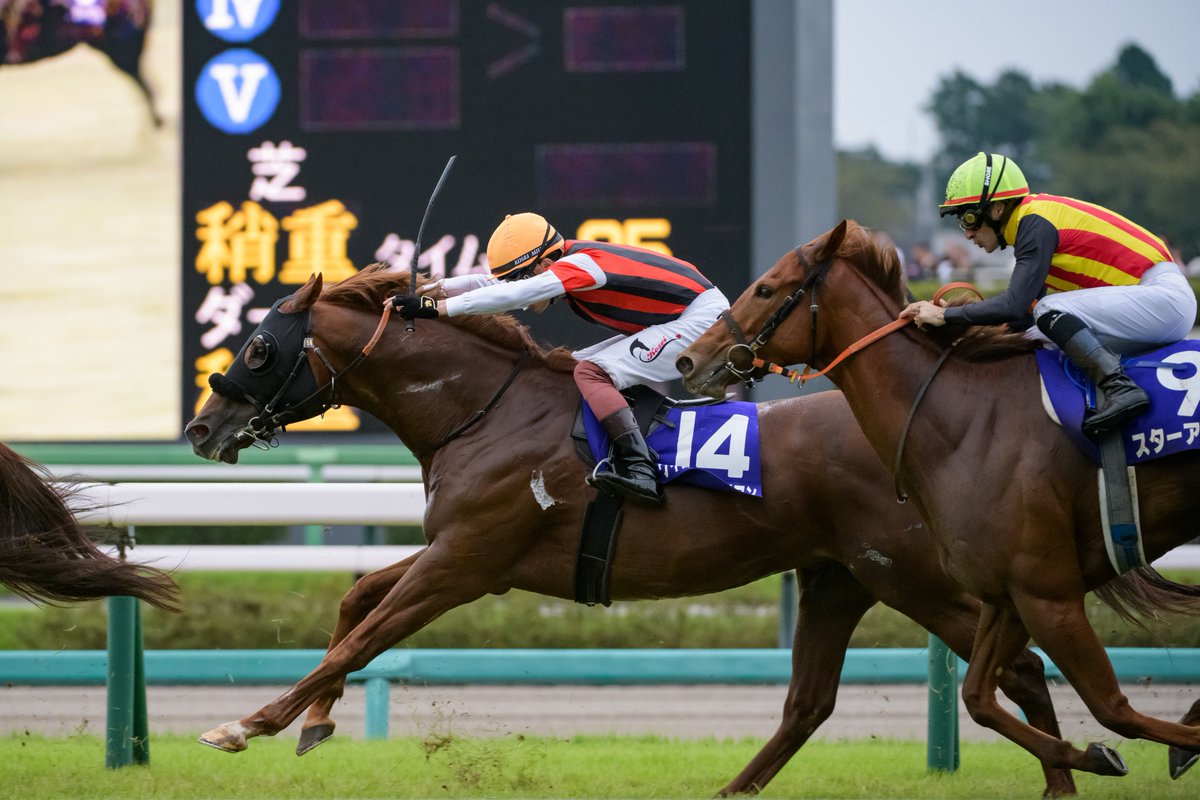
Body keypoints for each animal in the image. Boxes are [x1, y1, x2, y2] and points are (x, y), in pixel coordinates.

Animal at [182, 265, 1085, 797]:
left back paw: (1067, 773)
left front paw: (248, 724)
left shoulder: (464, 564)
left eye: (259, 346)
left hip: (911, 574)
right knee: (813, 702)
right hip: (842, 576)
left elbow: (361, 638)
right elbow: (356, 602)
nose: (200, 429)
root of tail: (933, 426)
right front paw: (318, 722)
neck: (484, 410)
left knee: (1020, 667)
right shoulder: (464, 555)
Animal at [676, 219, 1200, 783]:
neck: (967, 417)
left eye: (766, 289)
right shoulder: (1008, 591)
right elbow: (979, 697)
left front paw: (1164, 746)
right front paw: (1090, 756)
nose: (690, 359)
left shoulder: (1050, 594)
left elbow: (1113, 708)